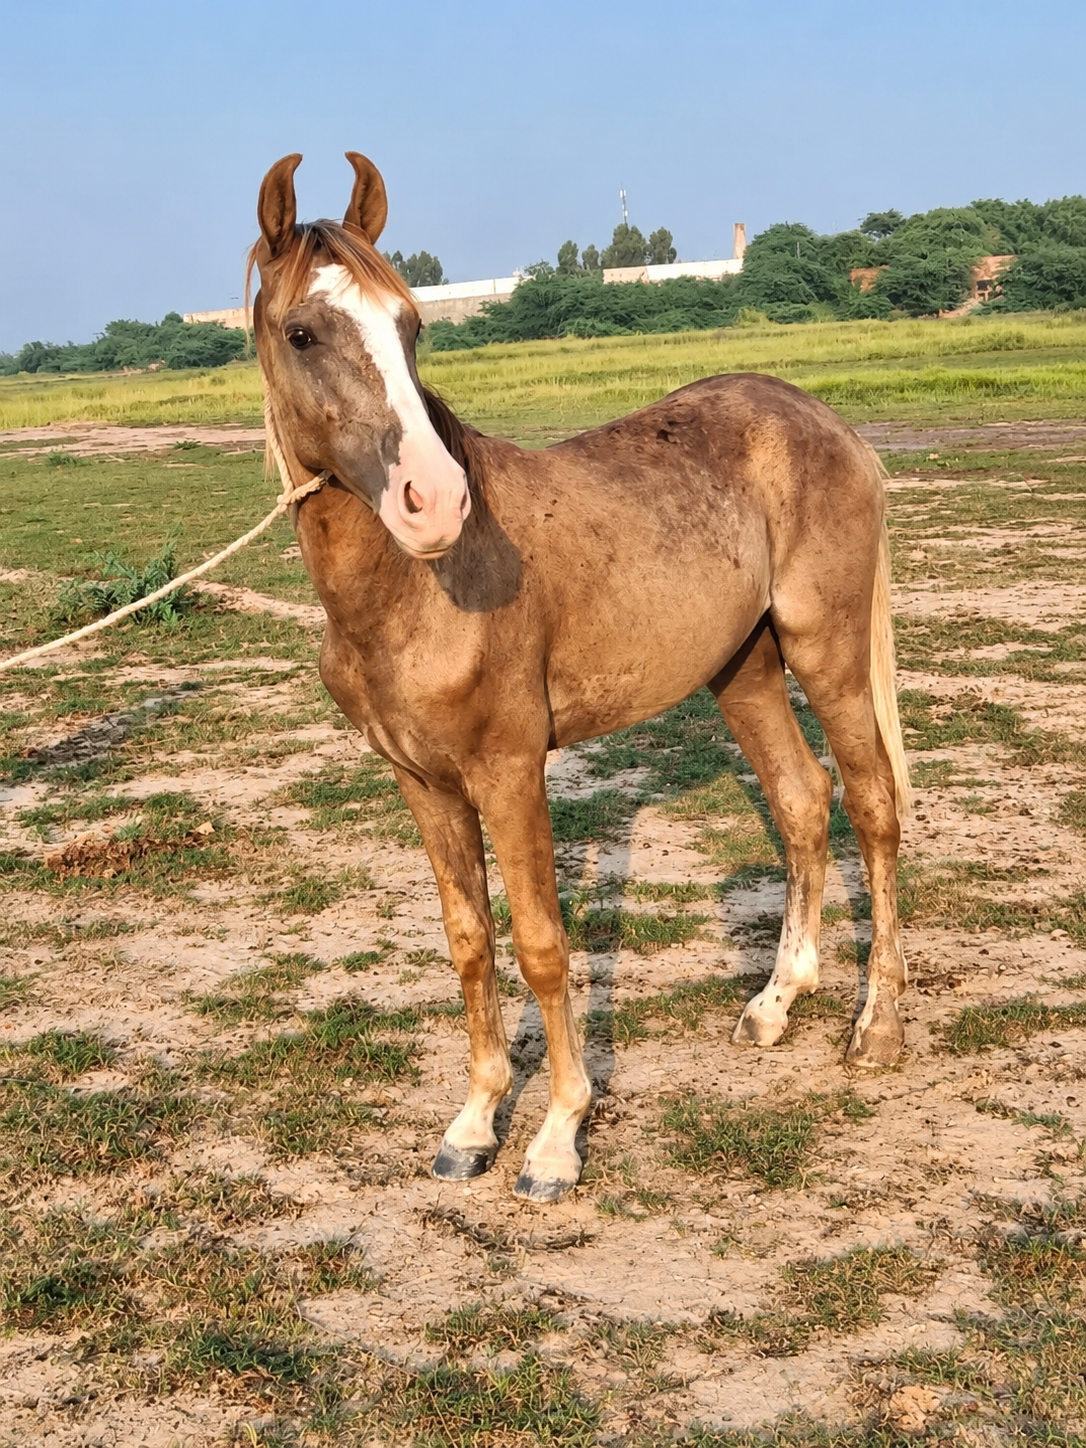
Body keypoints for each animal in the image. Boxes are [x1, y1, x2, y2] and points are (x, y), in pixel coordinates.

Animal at [249, 151, 912, 1203]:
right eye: (303, 332)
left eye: (411, 323)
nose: (433, 502)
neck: (411, 590)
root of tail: (826, 422)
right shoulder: (423, 781)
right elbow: (470, 943)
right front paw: (474, 1123)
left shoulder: (511, 769)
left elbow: (543, 947)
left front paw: (557, 1138)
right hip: (744, 666)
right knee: (804, 802)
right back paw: (775, 1003)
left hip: (827, 648)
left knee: (875, 808)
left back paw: (875, 1029)